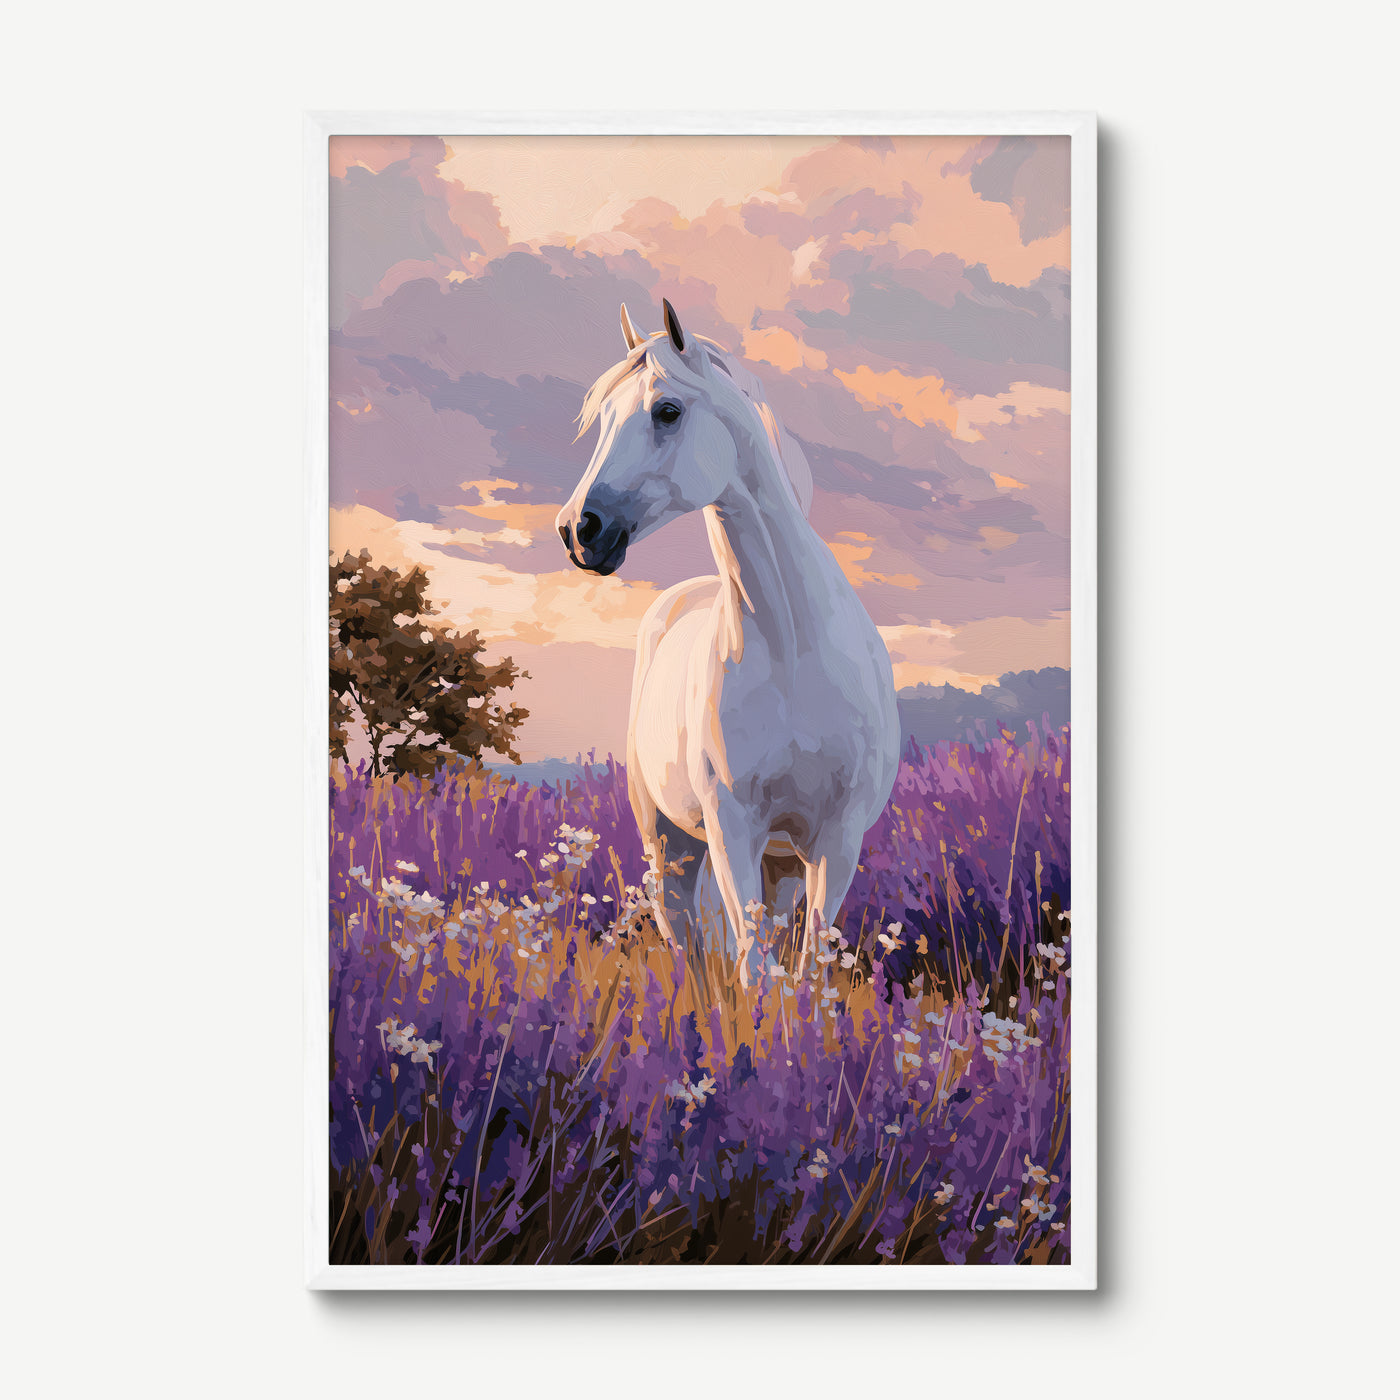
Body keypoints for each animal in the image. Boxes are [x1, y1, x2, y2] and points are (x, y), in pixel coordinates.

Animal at [556, 299, 900, 988]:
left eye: (667, 410)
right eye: (603, 418)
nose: (579, 530)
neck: (794, 651)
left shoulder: (834, 840)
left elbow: (808, 969)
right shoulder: (732, 827)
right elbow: (751, 967)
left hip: (782, 863)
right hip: (672, 845)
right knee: (684, 941)